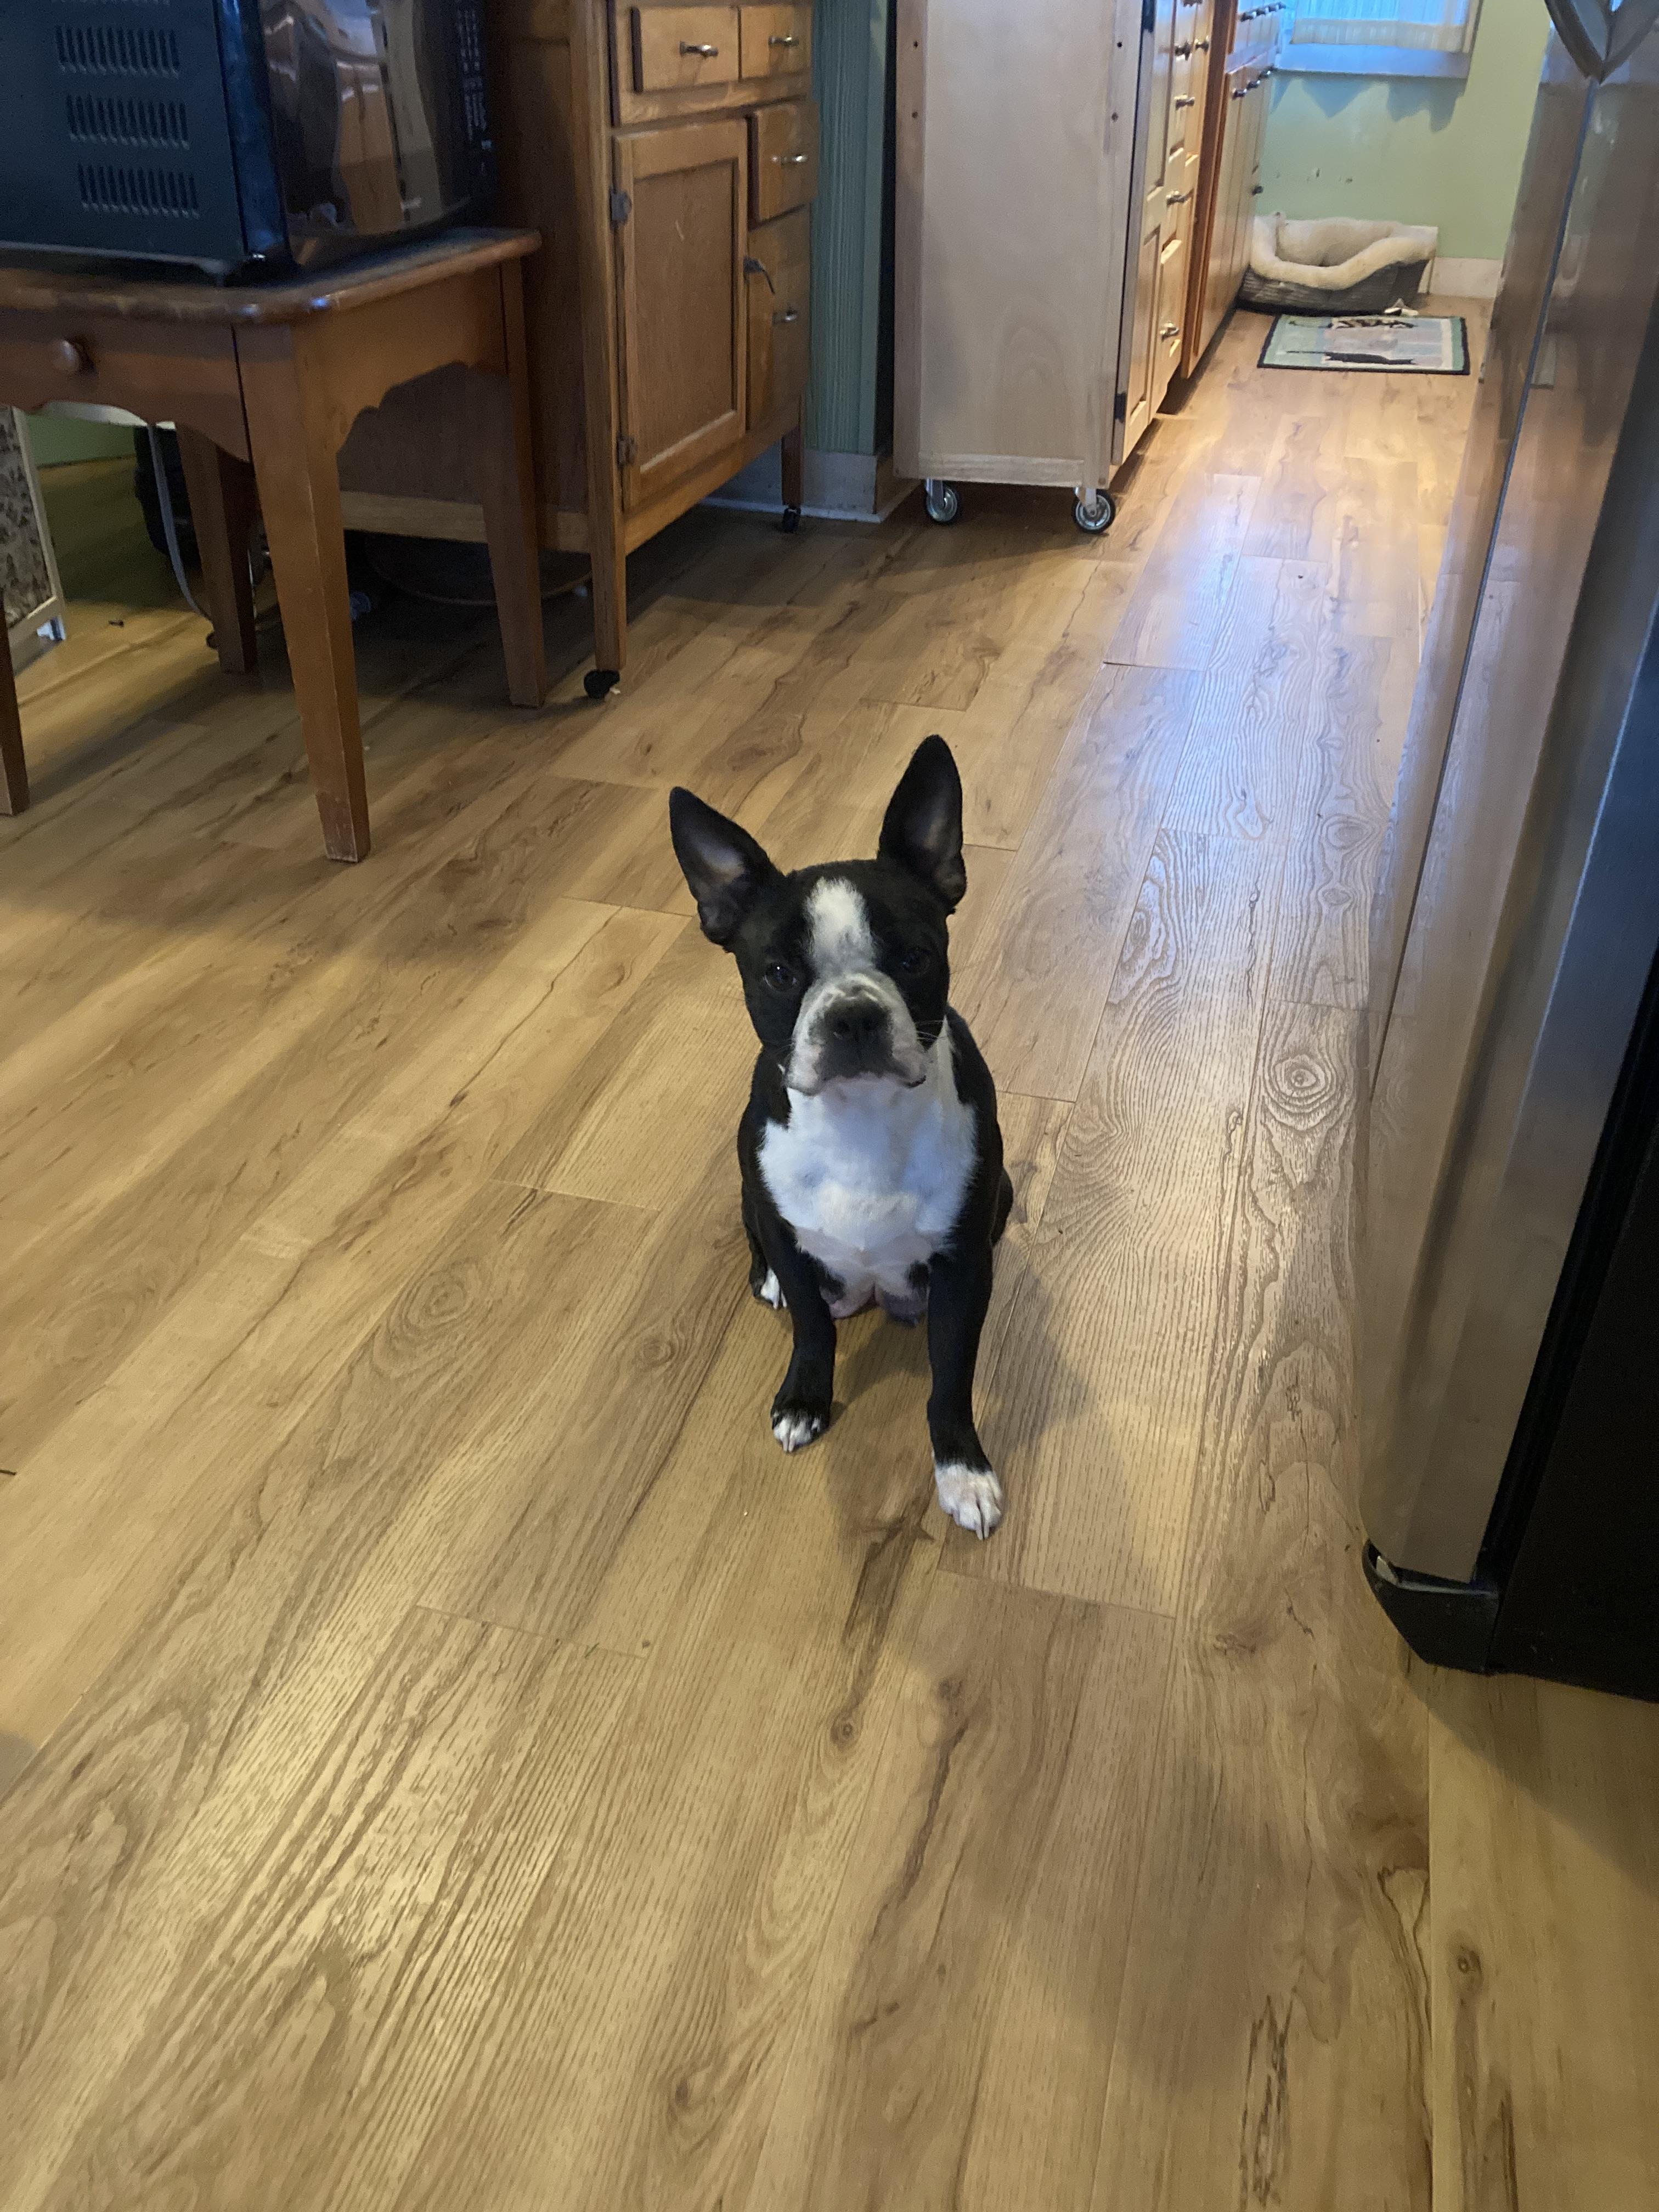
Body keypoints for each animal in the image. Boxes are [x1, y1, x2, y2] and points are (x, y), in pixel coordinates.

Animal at [669, 735, 1013, 1536]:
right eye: (777, 973)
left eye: (915, 959)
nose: (853, 1013)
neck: (862, 1119)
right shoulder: (790, 1236)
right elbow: (812, 1328)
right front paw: (804, 1399)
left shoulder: (962, 1269)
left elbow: (951, 1378)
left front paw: (962, 1469)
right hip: (749, 1195)